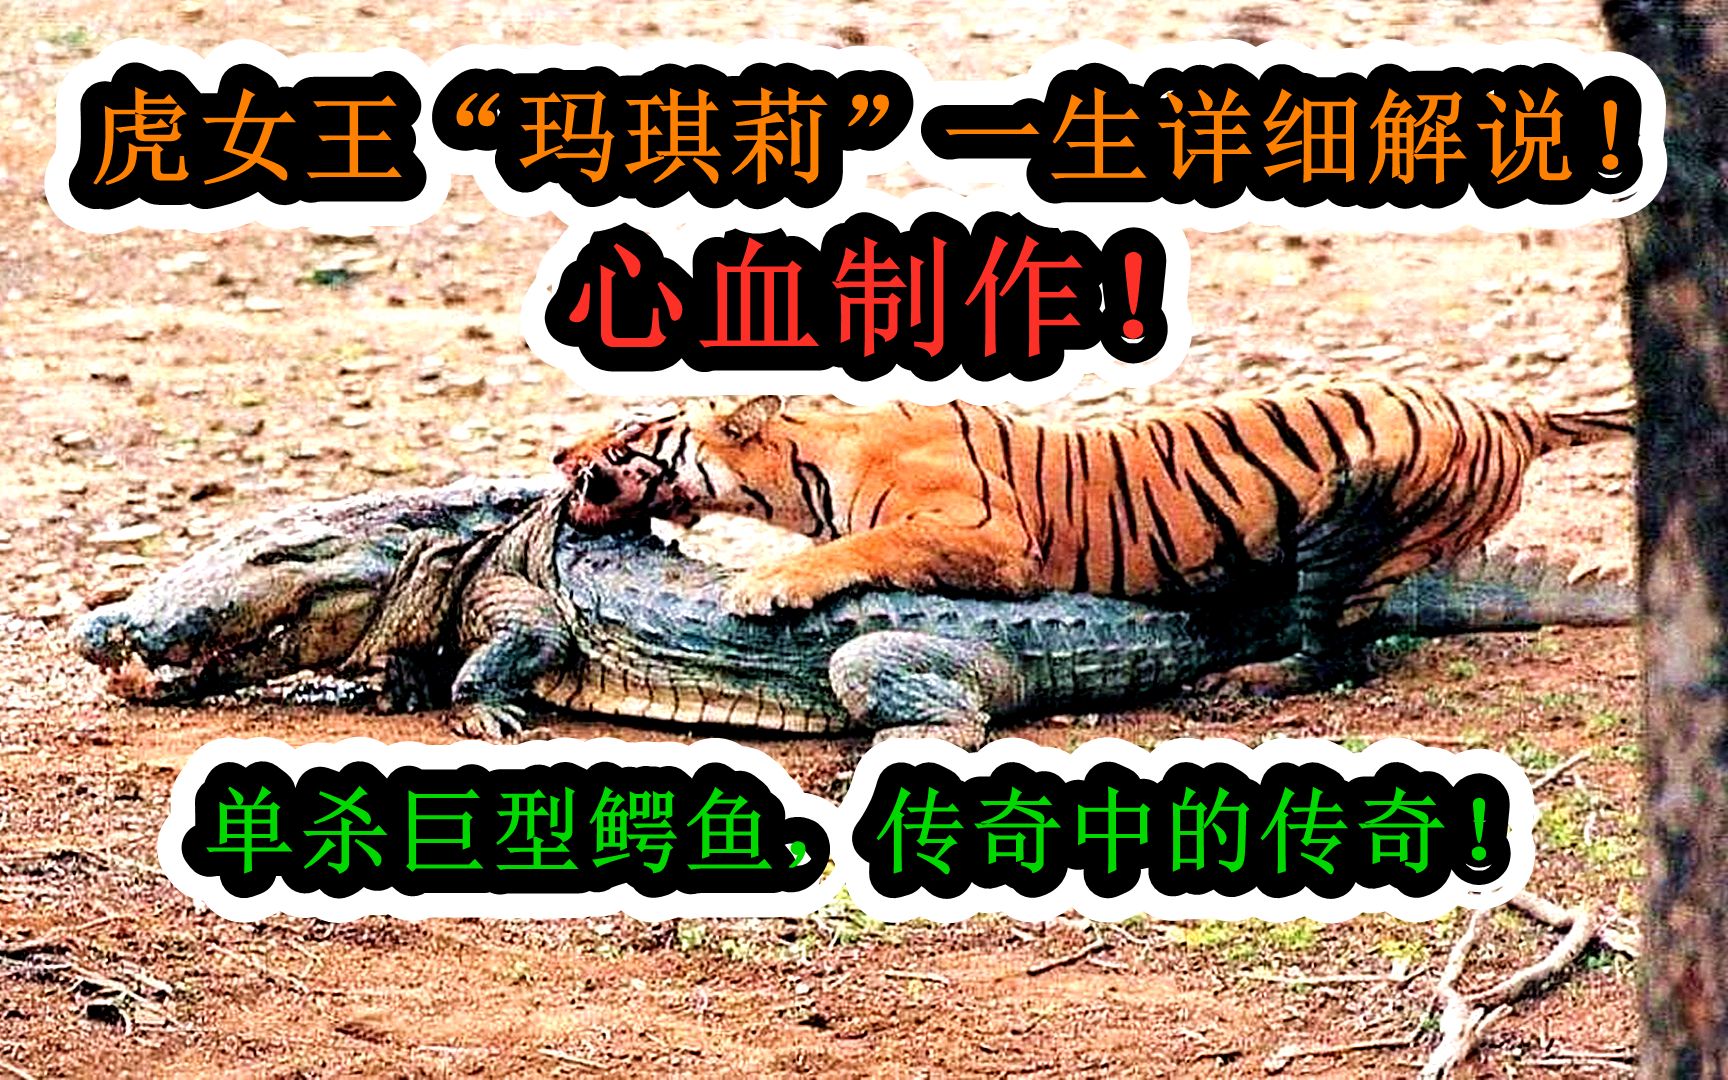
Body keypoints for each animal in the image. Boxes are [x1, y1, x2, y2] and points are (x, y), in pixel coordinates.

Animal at [552, 381, 1632, 692]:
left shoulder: (992, 538)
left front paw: (766, 584)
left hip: (1356, 512)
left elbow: (862, 547)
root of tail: (1511, 412)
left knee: (1341, 642)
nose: (562, 453)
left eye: (630, 429)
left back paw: (1255, 679)